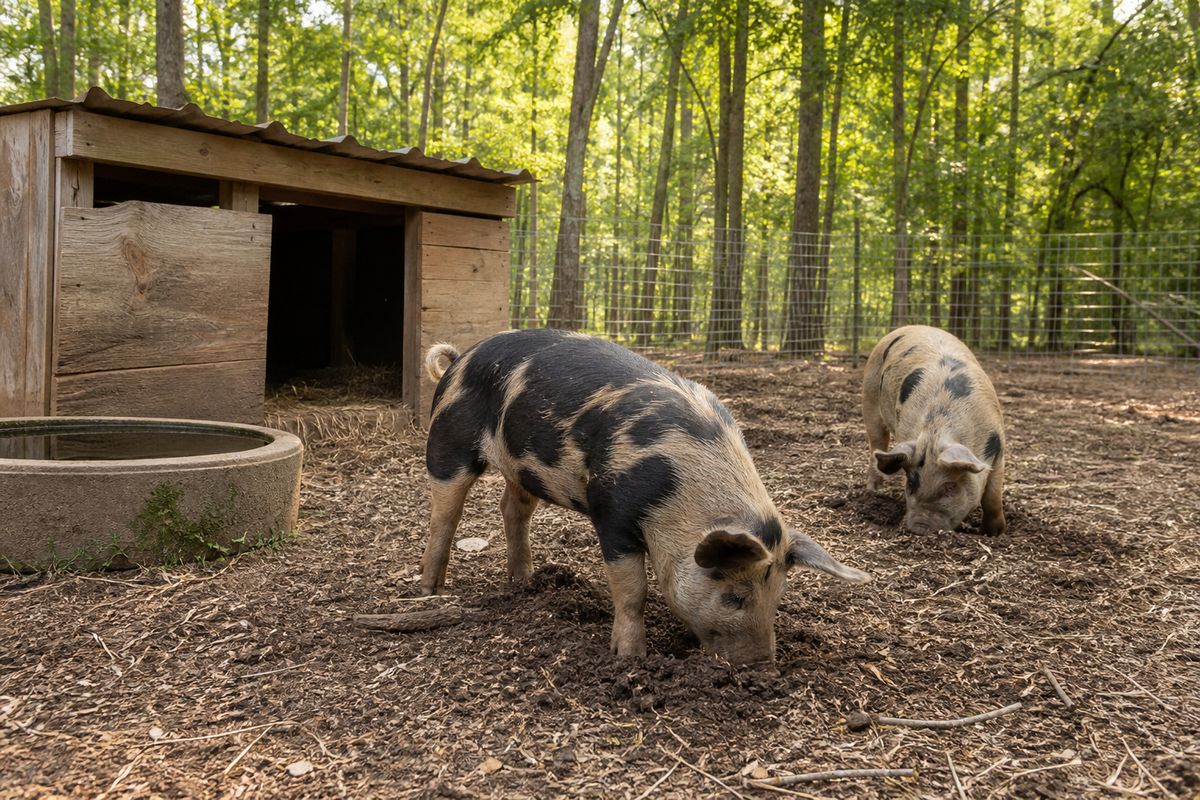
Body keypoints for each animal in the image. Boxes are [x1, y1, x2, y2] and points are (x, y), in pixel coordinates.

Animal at [420, 328, 870, 664]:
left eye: (778, 595)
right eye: (735, 596)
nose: (762, 667)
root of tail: (458, 359)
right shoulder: (613, 513)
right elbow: (634, 590)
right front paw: (630, 658)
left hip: (522, 467)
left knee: (513, 509)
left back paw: (524, 582)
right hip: (448, 441)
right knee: (444, 515)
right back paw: (430, 590)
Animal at [862, 325, 1007, 535]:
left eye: (949, 487)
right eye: (911, 482)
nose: (919, 528)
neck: (938, 431)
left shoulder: (998, 448)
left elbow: (992, 496)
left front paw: (993, 532)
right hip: (869, 397)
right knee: (876, 444)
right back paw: (872, 491)